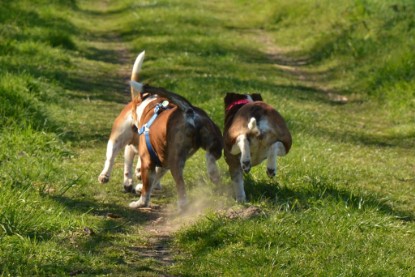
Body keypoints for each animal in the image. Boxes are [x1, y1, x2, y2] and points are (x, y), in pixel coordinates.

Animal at [98, 51, 223, 209]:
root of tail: (189, 111)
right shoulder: (159, 162)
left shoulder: (147, 160)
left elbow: (146, 188)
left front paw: (139, 200)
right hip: (213, 140)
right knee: (211, 157)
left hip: (129, 142)